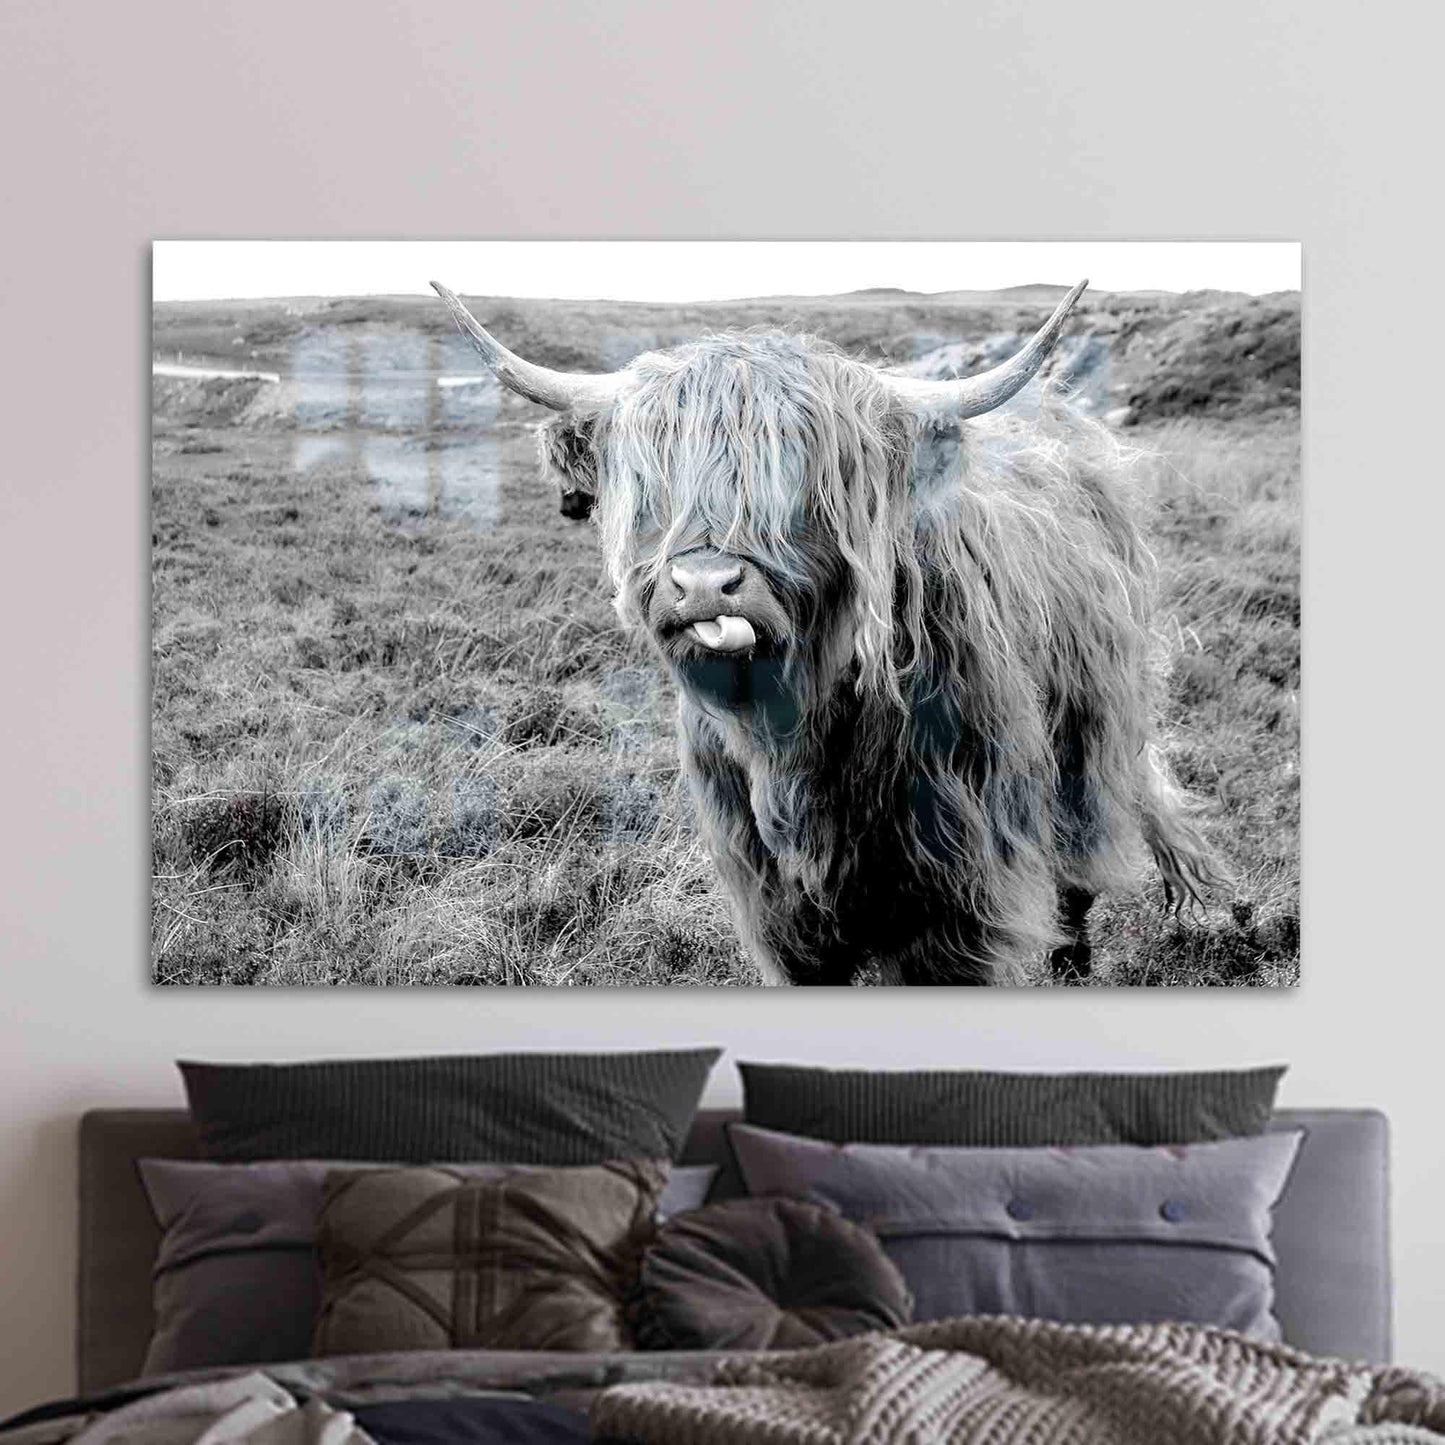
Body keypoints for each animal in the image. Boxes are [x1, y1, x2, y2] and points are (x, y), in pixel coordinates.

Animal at [432, 280, 1220, 986]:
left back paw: (1071, 958)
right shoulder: (775, 902)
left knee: (1079, 858)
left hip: (1090, 730)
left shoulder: (953, 894)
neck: (791, 735)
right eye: (651, 486)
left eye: (802, 486)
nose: (704, 585)